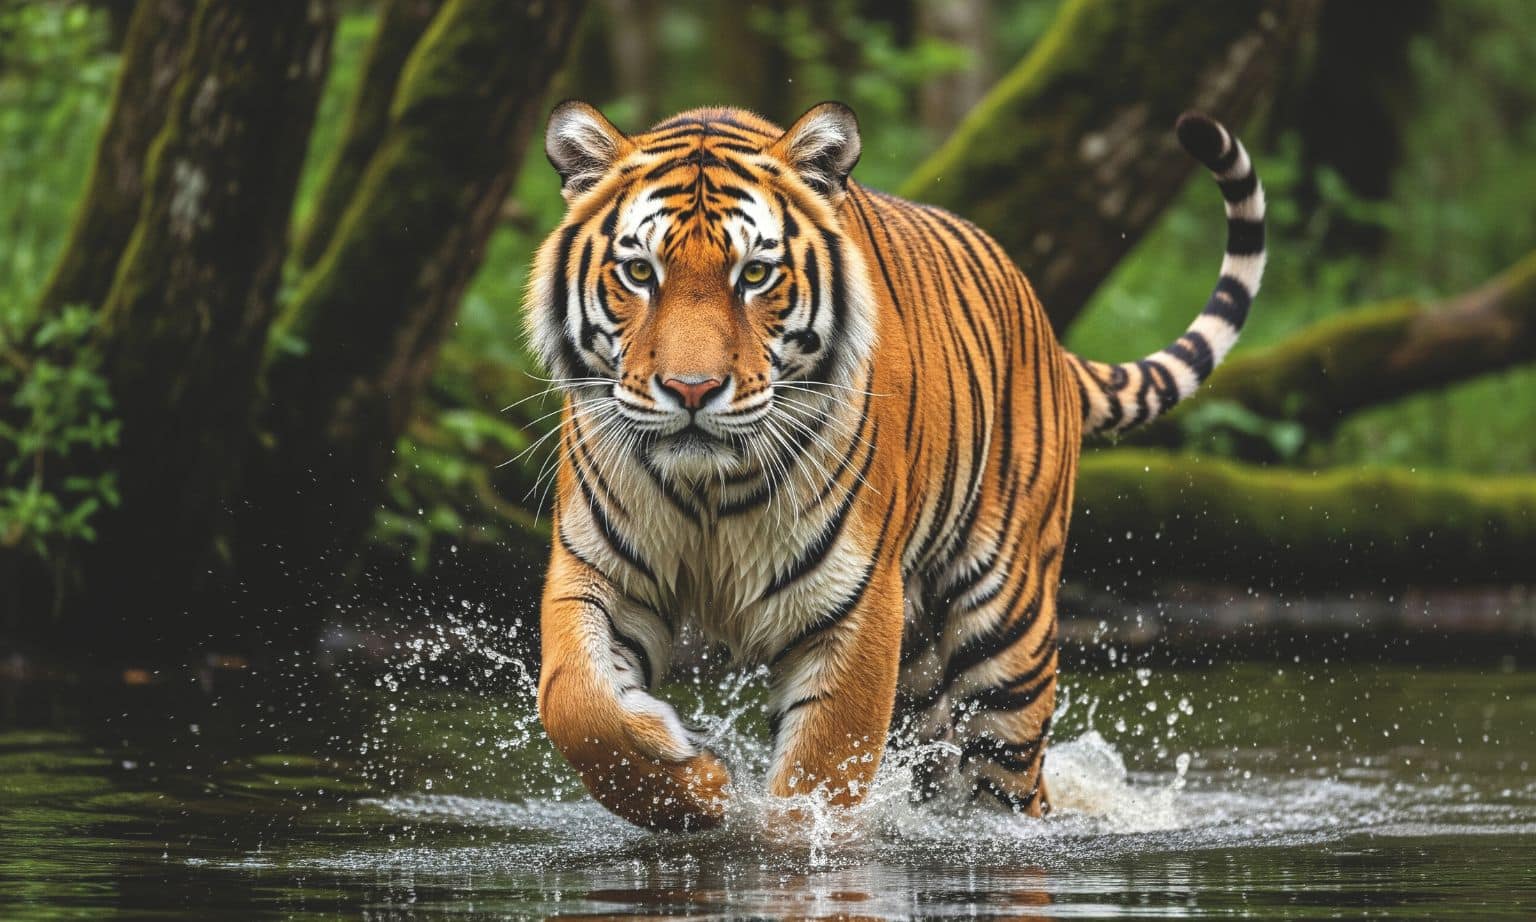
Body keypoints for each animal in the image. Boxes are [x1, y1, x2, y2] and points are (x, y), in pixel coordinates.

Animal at [526, 99, 1265, 831]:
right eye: (640, 273)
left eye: (755, 275)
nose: (691, 390)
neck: (710, 487)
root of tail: (1050, 336)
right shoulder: (596, 570)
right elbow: (576, 706)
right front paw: (696, 782)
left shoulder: (851, 608)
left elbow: (816, 782)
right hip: (918, 665)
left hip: (1007, 645)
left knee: (1016, 788)